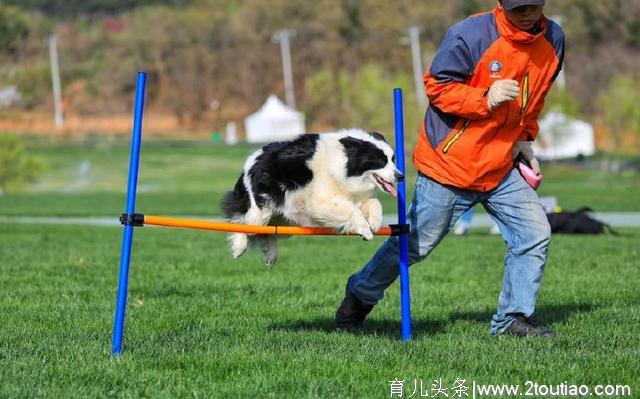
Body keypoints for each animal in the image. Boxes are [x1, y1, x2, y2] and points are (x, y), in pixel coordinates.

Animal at [220, 130, 400, 268]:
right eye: (380, 160)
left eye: (393, 159)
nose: (401, 176)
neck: (346, 163)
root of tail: (254, 157)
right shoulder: (320, 201)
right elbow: (352, 210)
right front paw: (365, 230)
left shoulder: (356, 193)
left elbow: (374, 203)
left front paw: (375, 222)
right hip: (259, 211)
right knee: (243, 222)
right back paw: (239, 247)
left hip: (285, 216)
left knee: (269, 230)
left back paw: (271, 255)